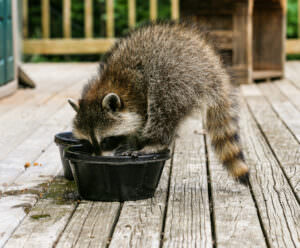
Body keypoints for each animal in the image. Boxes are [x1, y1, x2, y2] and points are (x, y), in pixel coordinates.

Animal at [69, 21, 250, 184]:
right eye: (87, 142)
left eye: (107, 141)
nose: (99, 159)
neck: (109, 84)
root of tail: (213, 67)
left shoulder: (138, 92)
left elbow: (142, 121)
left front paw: (132, 144)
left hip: (178, 77)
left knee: (162, 106)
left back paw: (156, 142)